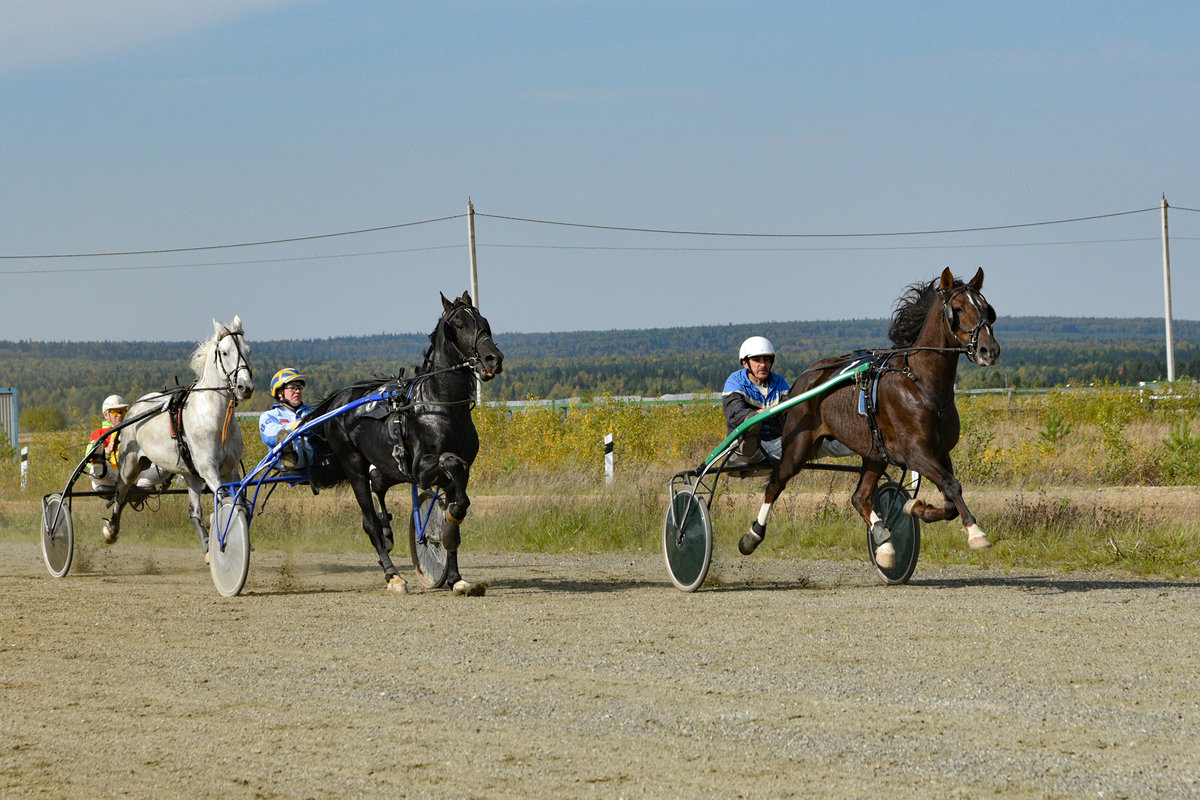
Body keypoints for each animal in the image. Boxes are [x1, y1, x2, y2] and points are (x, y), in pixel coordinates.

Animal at [102, 316, 253, 556]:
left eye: (248, 350)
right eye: (225, 352)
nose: (245, 387)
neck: (215, 417)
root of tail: (137, 405)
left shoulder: (230, 470)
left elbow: (236, 503)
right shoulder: (208, 468)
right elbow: (223, 500)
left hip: (190, 475)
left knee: (194, 512)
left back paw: (206, 544)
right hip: (131, 463)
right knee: (121, 492)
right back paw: (111, 530)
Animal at [307, 292, 504, 594]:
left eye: (484, 321)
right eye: (459, 324)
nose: (493, 358)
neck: (441, 403)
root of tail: (339, 399)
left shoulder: (460, 471)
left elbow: (458, 504)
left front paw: (455, 577)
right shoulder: (420, 468)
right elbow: (449, 462)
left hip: (388, 467)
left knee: (378, 488)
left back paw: (389, 534)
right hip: (353, 465)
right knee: (369, 521)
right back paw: (393, 575)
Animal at [739, 266, 1003, 566]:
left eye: (986, 308)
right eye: (957, 309)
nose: (989, 350)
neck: (921, 382)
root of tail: (804, 378)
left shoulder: (940, 452)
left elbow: (949, 502)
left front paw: (914, 507)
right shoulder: (915, 453)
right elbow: (951, 484)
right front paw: (975, 532)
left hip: (874, 453)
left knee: (860, 497)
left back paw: (884, 544)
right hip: (798, 446)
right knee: (776, 483)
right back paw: (752, 535)